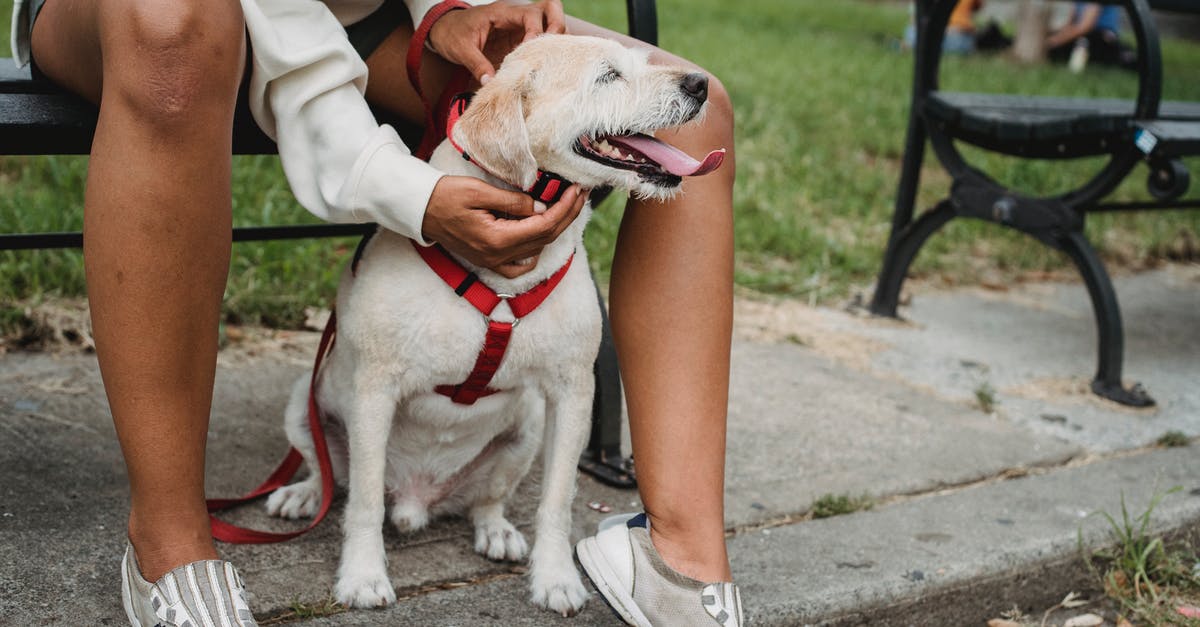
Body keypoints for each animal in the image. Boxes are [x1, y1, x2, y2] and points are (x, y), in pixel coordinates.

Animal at [265, 32, 720, 610]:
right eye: (607, 75)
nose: (700, 84)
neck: (499, 283)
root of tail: (416, 498)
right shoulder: (374, 392)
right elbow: (363, 502)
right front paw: (363, 575)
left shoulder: (571, 393)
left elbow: (557, 500)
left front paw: (555, 577)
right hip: (304, 405)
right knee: (329, 476)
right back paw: (303, 495)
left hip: (524, 431)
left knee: (487, 499)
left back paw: (496, 530)